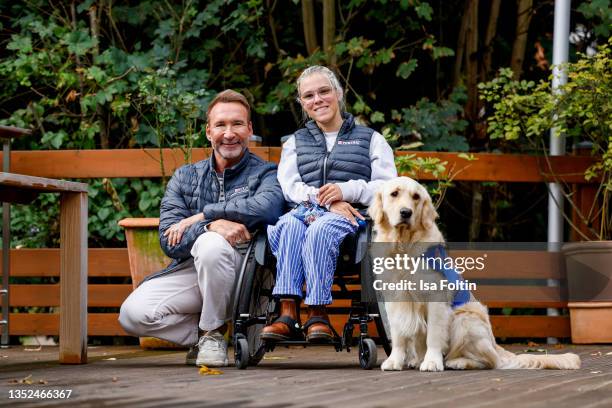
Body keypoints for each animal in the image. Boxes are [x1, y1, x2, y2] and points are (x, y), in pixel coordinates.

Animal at [370, 177, 580, 372]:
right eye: (394, 194)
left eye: (415, 197)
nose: (406, 212)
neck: (403, 246)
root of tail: (496, 346)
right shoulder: (394, 299)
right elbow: (397, 336)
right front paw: (394, 361)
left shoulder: (436, 299)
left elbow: (434, 336)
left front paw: (431, 362)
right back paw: (417, 360)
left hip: (466, 319)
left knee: (489, 361)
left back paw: (457, 362)